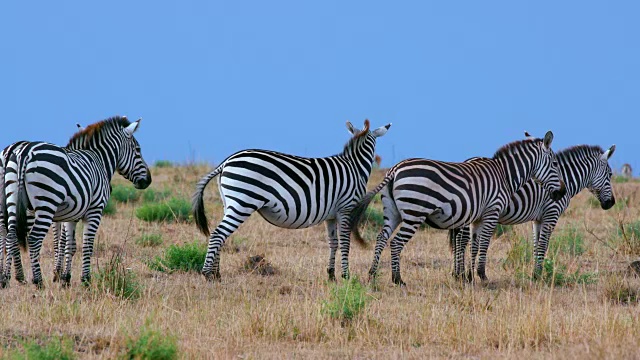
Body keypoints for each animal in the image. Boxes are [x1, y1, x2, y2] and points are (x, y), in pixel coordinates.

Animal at [1, 116, 151, 288]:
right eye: (138, 150)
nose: (148, 180)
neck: (99, 160)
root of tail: (24, 151)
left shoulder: (71, 215)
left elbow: (70, 246)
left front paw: (65, 278)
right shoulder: (94, 211)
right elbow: (86, 245)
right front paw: (84, 279)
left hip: (13, 201)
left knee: (10, 235)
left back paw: (8, 278)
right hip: (46, 204)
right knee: (33, 239)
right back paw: (38, 281)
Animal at [190, 120, 390, 282]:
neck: (354, 166)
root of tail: (226, 162)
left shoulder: (332, 215)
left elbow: (333, 243)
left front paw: (331, 275)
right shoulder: (346, 208)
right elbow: (345, 243)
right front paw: (346, 276)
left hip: (229, 203)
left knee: (221, 235)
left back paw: (217, 275)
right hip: (243, 202)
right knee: (218, 234)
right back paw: (208, 275)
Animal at [350, 131, 564, 286]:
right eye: (555, 163)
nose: (561, 192)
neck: (504, 175)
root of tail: (394, 169)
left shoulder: (477, 217)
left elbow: (474, 245)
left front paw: (469, 277)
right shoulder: (492, 212)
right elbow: (484, 244)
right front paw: (482, 276)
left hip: (392, 211)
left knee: (381, 238)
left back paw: (372, 274)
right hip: (414, 212)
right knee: (395, 243)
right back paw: (398, 279)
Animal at [450, 143, 616, 278]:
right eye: (610, 174)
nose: (612, 203)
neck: (565, 181)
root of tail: (467, 161)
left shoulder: (538, 219)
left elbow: (536, 244)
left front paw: (535, 273)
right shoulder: (551, 214)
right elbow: (543, 244)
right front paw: (539, 275)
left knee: (459, 239)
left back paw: (457, 274)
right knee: (461, 240)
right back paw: (461, 275)